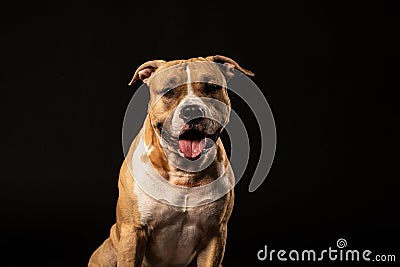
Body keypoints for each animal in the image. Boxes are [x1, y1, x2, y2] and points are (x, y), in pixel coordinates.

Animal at [89, 55, 255, 266]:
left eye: (211, 87)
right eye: (168, 91)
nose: (192, 110)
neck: (183, 172)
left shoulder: (214, 234)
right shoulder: (134, 231)